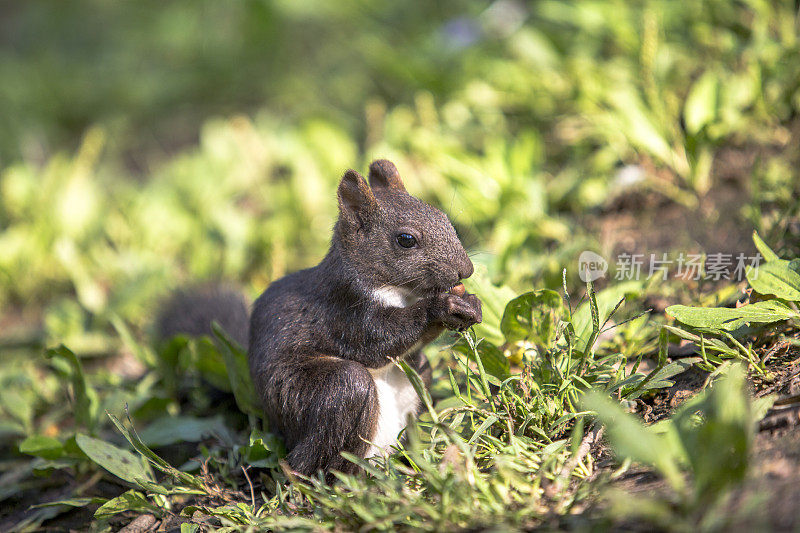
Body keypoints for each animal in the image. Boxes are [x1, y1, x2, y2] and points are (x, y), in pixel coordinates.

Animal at [157, 159, 482, 478]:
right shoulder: (344, 311)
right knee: (310, 459)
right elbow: (378, 342)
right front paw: (442, 306)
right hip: (325, 394)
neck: (398, 292)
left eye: (443, 218)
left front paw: (471, 304)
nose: (465, 270)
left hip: (415, 381)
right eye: (406, 240)